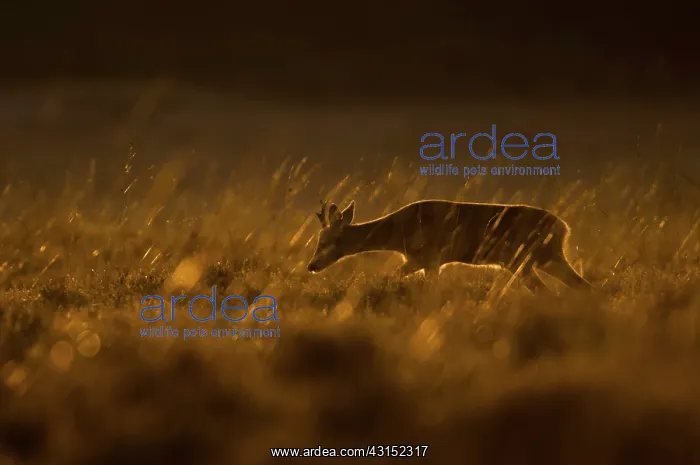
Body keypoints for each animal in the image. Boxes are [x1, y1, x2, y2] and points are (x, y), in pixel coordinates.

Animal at [307, 199, 591, 293]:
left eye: (326, 241)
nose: (311, 265)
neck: (398, 230)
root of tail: (564, 228)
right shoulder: (418, 260)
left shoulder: (431, 259)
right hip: (536, 260)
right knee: (578, 286)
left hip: (529, 259)